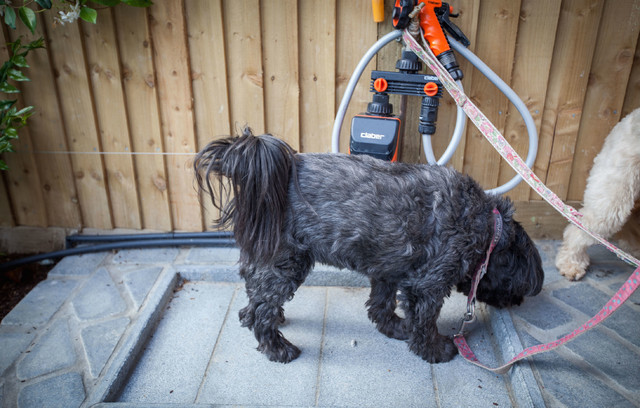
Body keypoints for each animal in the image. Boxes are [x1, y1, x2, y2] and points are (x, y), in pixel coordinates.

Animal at [195, 128, 544, 364]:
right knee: (263, 305)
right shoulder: (429, 284)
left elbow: (381, 303)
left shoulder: (388, 268)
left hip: (267, 256)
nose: (516, 305)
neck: (489, 229)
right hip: (287, 261)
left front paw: (394, 328)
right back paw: (277, 347)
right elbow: (425, 320)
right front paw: (433, 348)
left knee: (254, 290)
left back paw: (251, 317)